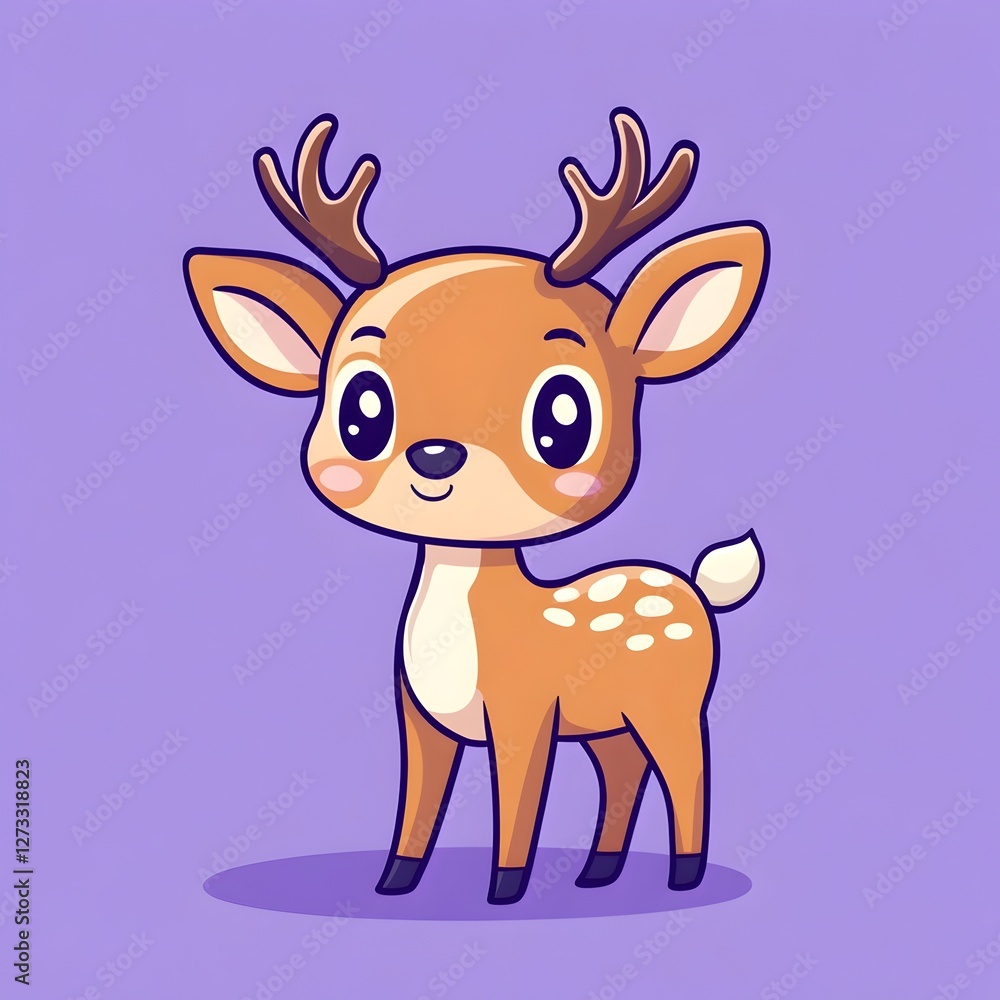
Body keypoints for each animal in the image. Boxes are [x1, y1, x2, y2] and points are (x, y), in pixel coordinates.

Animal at [184, 108, 770, 905]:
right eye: (362, 409)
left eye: (564, 416)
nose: (437, 456)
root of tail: (699, 590)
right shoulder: (420, 720)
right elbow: (416, 806)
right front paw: (394, 883)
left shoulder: (525, 712)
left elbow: (517, 805)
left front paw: (505, 890)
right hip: (609, 719)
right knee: (623, 770)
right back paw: (597, 871)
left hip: (670, 702)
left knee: (688, 768)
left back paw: (682, 874)